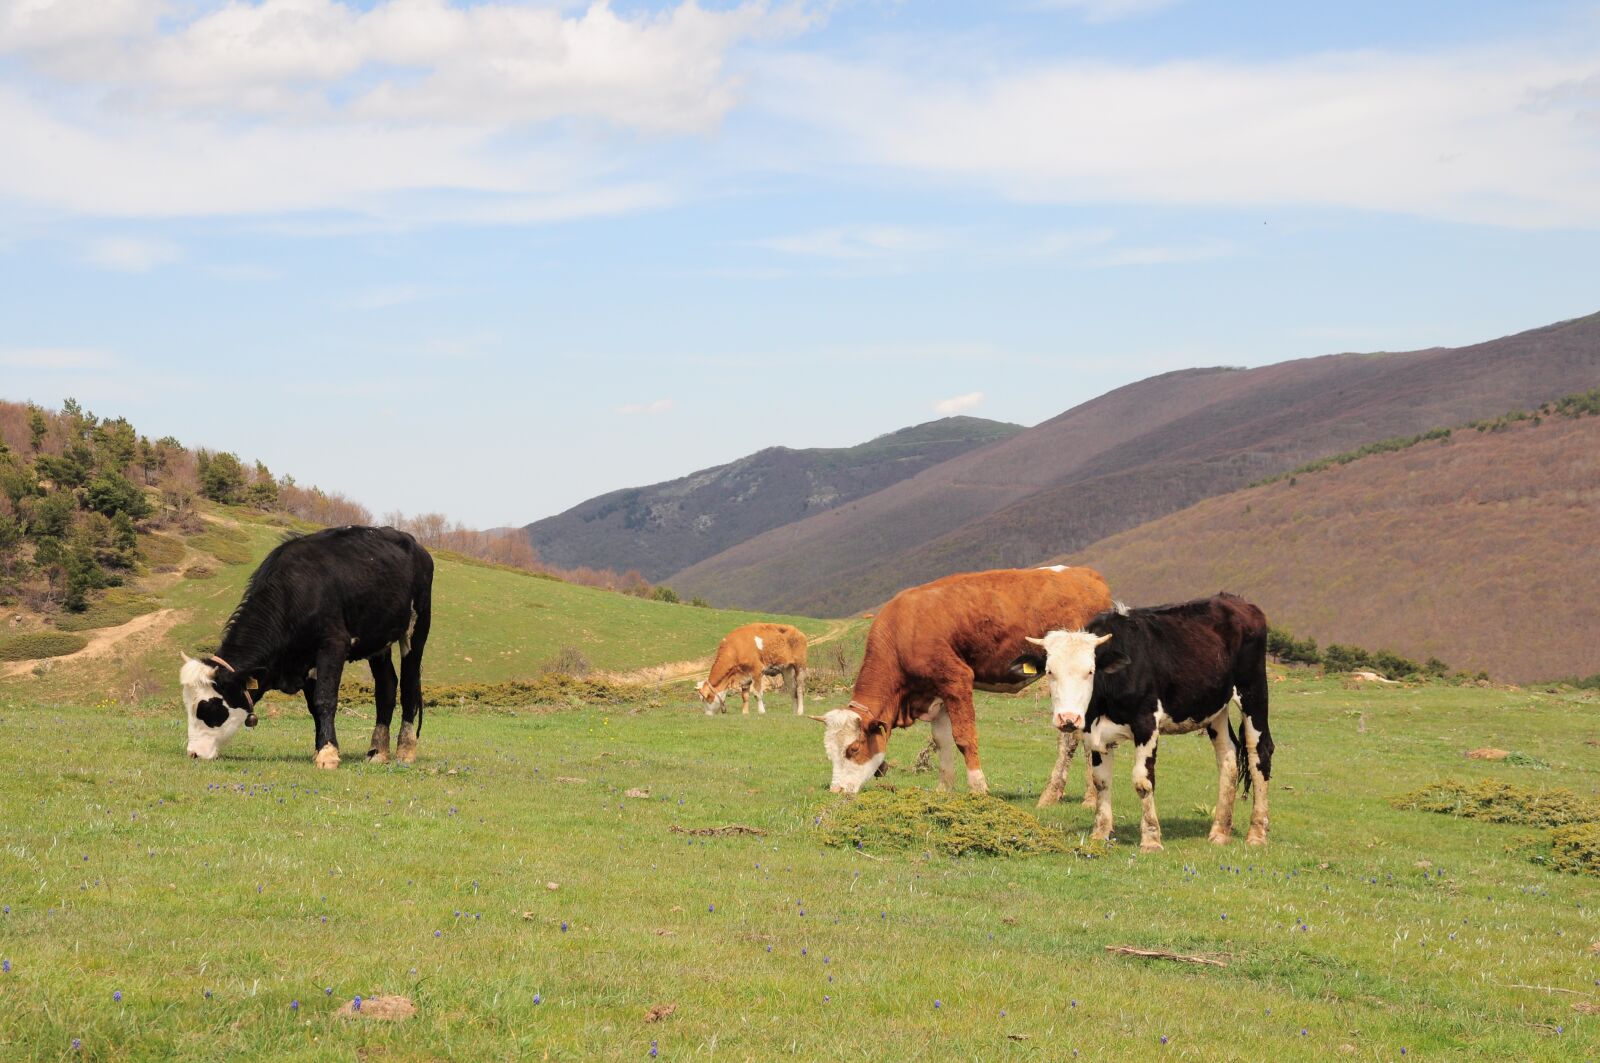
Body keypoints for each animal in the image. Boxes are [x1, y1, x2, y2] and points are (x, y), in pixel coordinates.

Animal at [180, 525, 434, 770]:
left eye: (210, 708)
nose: (193, 753)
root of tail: (415, 545)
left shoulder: (333, 645)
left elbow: (325, 699)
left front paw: (328, 754)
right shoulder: (307, 660)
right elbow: (313, 706)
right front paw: (321, 748)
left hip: (417, 627)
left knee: (408, 684)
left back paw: (405, 751)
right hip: (378, 641)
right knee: (386, 687)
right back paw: (377, 752)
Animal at [814, 566, 1112, 796]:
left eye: (853, 748)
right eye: (829, 754)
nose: (837, 791)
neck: (902, 632)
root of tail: (1087, 574)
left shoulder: (957, 679)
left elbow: (964, 738)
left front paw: (978, 788)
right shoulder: (936, 692)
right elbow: (942, 741)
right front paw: (944, 789)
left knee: (1078, 737)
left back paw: (1076, 796)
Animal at [1027, 592, 1272, 851]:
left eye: (1090, 671)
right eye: (1050, 671)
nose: (1068, 718)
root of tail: (1236, 600)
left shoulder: (1146, 723)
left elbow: (1143, 781)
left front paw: (1151, 838)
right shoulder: (1094, 732)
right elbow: (1100, 780)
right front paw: (1100, 833)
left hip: (1253, 692)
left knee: (1259, 753)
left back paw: (1257, 833)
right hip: (1216, 706)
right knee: (1228, 756)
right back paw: (1220, 832)